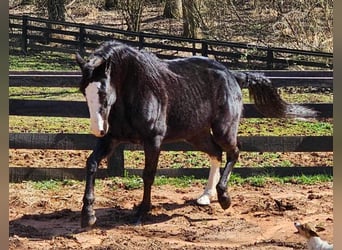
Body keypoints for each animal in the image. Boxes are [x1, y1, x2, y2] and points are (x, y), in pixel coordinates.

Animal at [76, 40, 316, 228]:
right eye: (84, 91)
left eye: (103, 92)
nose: (97, 129)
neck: (135, 89)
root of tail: (232, 75)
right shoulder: (111, 139)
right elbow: (91, 164)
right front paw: (88, 215)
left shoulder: (153, 140)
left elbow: (148, 174)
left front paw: (142, 212)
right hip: (196, 135)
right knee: (216, 153)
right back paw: (206, 196)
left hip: (223, 129)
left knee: (234, 152)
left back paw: (224, 197)